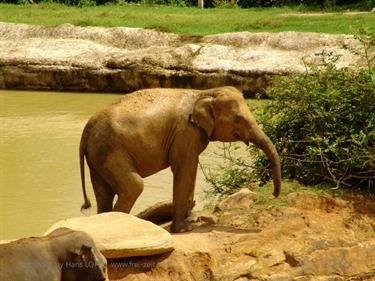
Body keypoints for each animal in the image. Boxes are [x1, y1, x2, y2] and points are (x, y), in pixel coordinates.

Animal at [79, 85, 280, 232]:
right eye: (238, 119)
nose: (274, 195)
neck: (204, 92)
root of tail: (86, 130)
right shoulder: (185, 133)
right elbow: (184, 169)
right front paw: (183, 229)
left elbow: (191, 170)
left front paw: (191, 221)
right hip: (112, 152)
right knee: (133, 186)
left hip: (98, 157)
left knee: (104, 194)